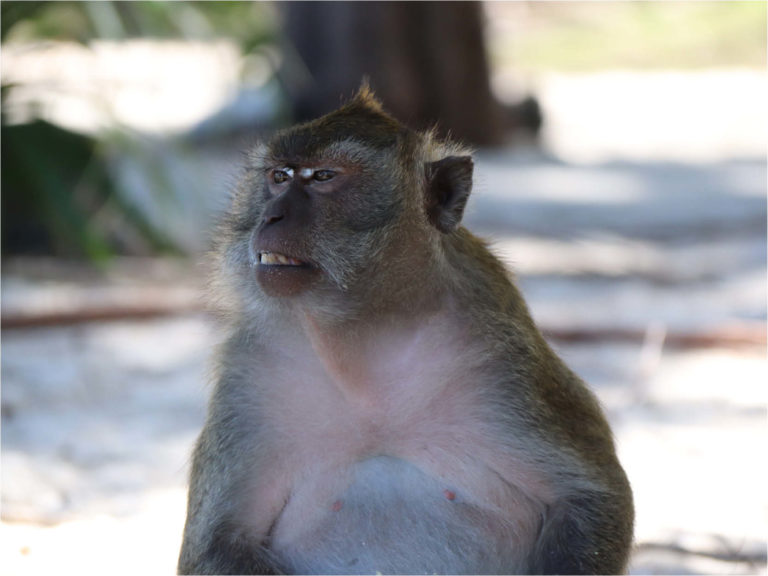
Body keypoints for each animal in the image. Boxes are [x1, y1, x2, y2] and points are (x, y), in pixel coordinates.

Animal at [178, 87, 634, 575]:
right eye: (279, 176)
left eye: (323, 176)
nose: (271, 216)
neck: (366, 335)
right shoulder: (249, 373)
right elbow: (219, 541)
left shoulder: (503, 355)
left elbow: (590, 496)